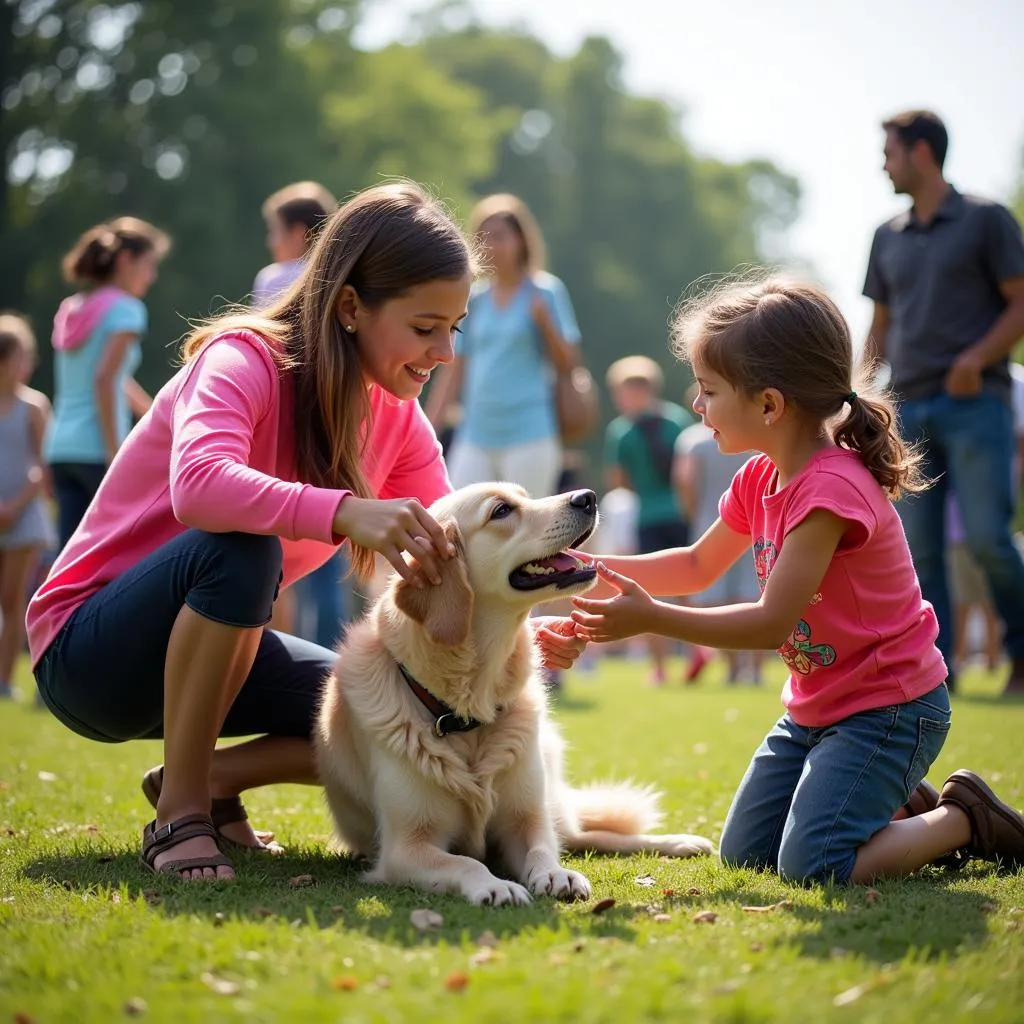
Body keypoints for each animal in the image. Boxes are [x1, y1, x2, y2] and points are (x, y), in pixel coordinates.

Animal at [313, 481, 712, 905]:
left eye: (524, 495)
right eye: (501, 511)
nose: (587, 497)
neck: (469, 709)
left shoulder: (526, 819)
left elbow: (541, 848)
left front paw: (555, 874)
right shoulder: (406, 848)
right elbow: (464, 863)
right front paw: (494, 884)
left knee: (587, 834)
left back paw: (680, 842)